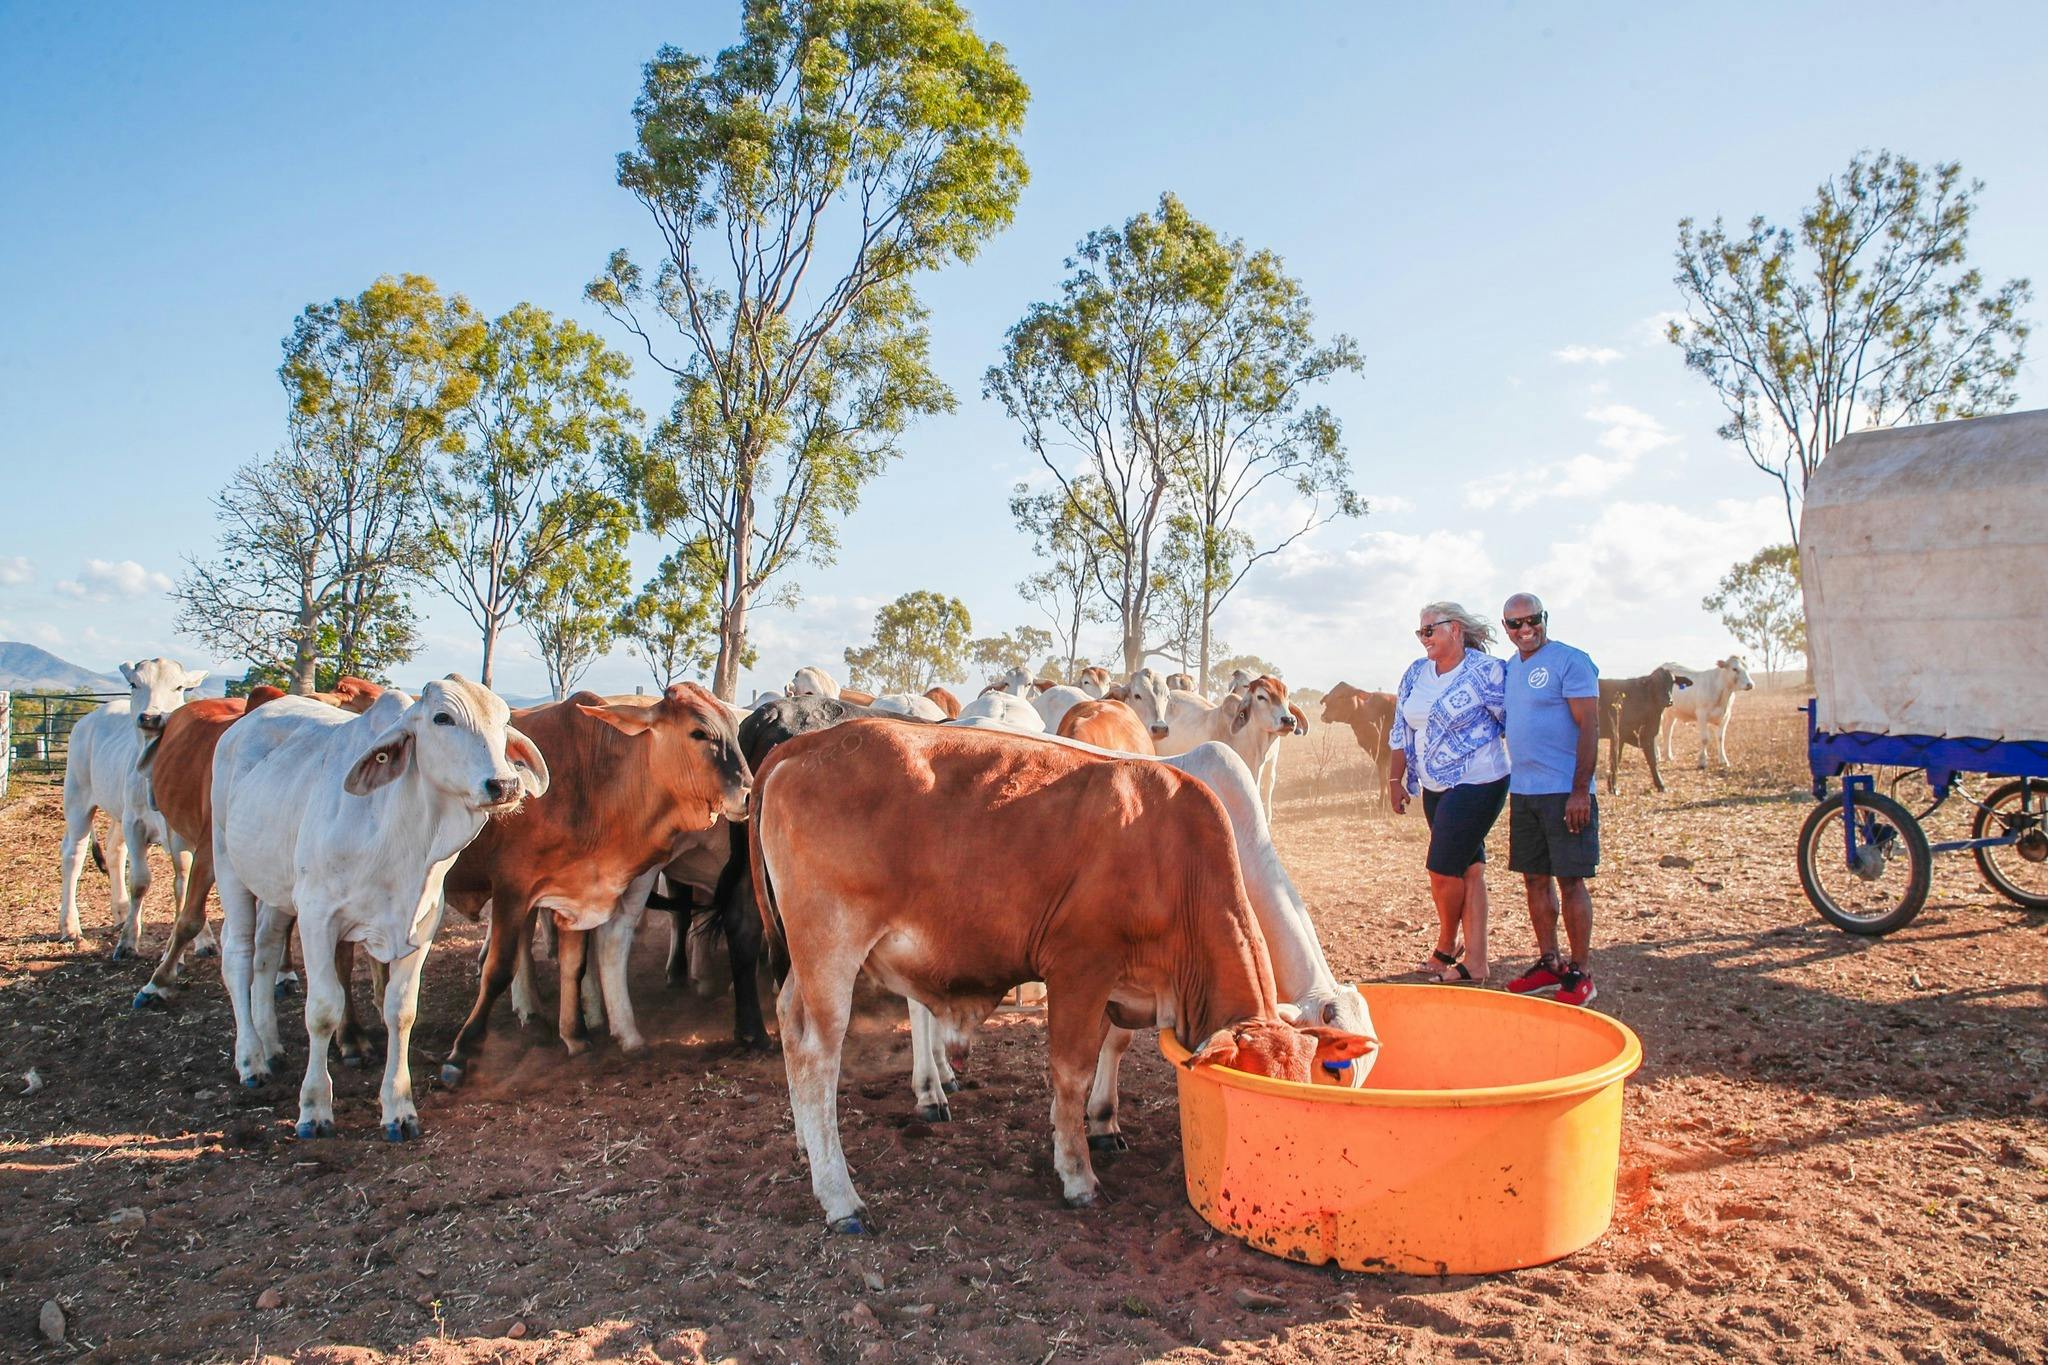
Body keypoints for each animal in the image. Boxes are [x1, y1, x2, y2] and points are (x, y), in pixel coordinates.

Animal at [57, 658, 208, 956]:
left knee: (114, 851)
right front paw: (128, 941)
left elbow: (188, 882)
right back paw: (70, 926)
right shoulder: (135, 824)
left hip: (117, 812)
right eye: (134, 684)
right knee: (73, 854)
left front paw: (205, 940)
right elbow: (140, 881)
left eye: (179, 686)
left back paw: (121, 910)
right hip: (78, 798)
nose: (150, 717)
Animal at [209, 678, 546, 1141]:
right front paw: (314, 1108)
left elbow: (400, 1011)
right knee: (239, 956)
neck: (399, 833)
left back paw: (271, 1045)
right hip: (229, 864)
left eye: (503, 721)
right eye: (442, 717)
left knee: (265, 952)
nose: (506, 786)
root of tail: (243, 725)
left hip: (278, 889)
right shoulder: (317, 917)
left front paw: (399, 1108)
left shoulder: (421, 925)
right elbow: (322, 1010)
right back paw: (251, 1060)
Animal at [436, 684, 751, 1082]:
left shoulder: (576, 890)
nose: (748, 793)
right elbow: (499, 968)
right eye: (699, 733)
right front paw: (461, 1052)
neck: (595, 779)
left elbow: (574, 963)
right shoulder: (513, 884)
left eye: (735, 731)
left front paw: (576, 1035)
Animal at [750, 719, 1377, 1231]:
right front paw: (1078, 1172)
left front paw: (1103, 1125)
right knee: (816, 1051)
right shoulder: (1080, 969)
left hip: (808, 957)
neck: (1174, 855)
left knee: (789, 1021)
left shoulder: (1128, 987)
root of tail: (809, 742)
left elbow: (1110, 1049)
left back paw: (809, 1145)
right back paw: (842, 1194)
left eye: (1313, 1077)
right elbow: (1071, 1072)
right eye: (1338, 1069)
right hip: (832, 945)